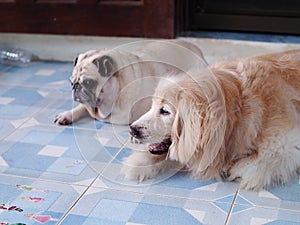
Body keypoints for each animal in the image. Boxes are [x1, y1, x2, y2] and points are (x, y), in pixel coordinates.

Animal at [122, 49, 300, 190]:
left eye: (165, 111)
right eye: (151, 106)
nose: (132, 129)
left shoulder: (288, 142)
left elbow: (270, 156)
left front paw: (246, 168)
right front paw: (140, 162)